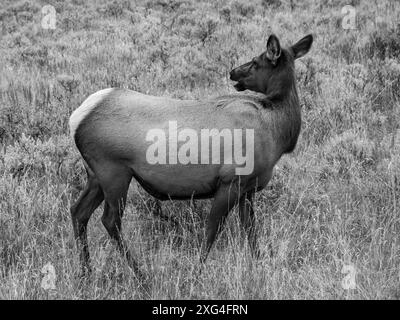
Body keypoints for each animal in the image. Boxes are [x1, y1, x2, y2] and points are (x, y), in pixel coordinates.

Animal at [69, 34, 312, 276]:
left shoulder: (248, 189)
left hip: (95, 175)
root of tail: (75, 119)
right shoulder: (230, 181)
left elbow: (250, 230)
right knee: (110, 220)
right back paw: (140, 274)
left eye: (254, 62)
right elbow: (213, 229)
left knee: (78, 211)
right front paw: (196, 271)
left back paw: (86, 271)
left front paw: (259, 264)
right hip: (114, 171)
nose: (233, 71)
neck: (277, 134)